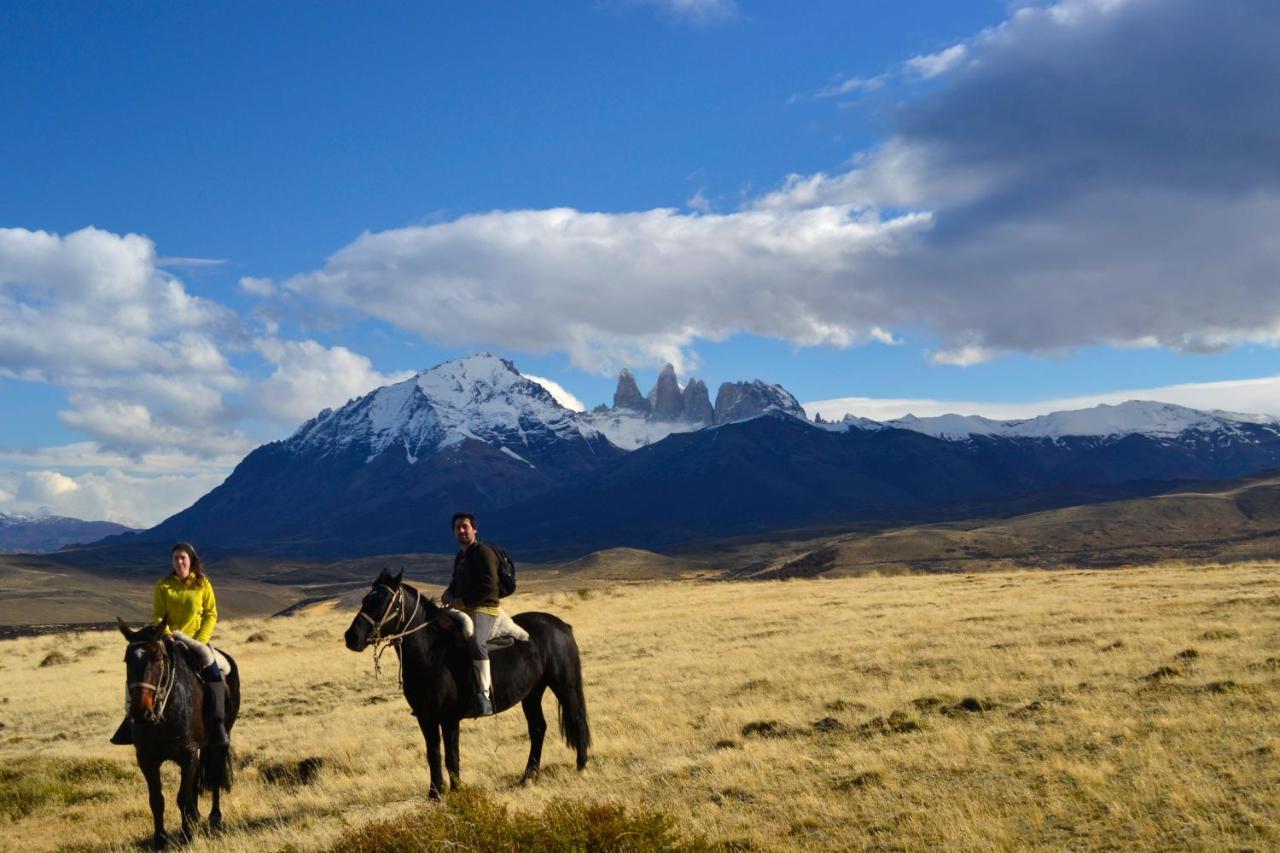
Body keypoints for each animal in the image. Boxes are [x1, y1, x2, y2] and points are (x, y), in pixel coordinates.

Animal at [117, 617, 240, 845]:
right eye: (127, 660)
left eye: (157, 658)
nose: (140, 712)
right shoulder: (146, 758)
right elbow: (157, 799)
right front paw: (160, 839)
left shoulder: (187, 753)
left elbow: (182, 797)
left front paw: (187, 835)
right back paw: (196, 816)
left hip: (218, 740)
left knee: (214, 774)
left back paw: (214, 818)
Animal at [340, 571, 588, 799]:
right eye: (365, 599)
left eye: (383, 601)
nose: (351, 637)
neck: (432, 652)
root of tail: (561, 625)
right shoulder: (426, 717)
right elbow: (433, 754)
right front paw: (435, 794)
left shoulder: (449, 718)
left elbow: (452, 756)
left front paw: (458, 791)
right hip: (532, 693)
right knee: (537, 728)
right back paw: (527, 777)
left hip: (564, 686)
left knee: (576, 720)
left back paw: (581, 767)